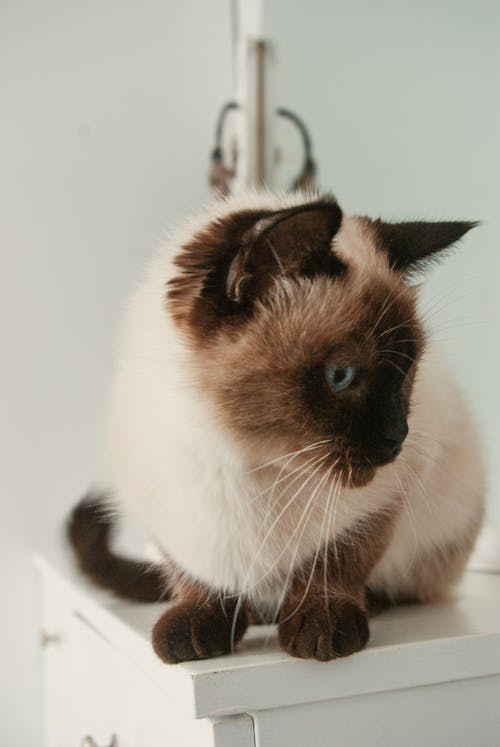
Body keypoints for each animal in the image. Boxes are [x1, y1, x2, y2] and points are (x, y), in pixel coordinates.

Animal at [67, 190, 484, 664]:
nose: (399, 436)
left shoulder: (382, 502)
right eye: (341, 376)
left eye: (407, 369)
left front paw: (320, 629)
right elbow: (195, 579)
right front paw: (197, 629)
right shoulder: (171, 526)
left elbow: (336, 563)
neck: (246, 457)